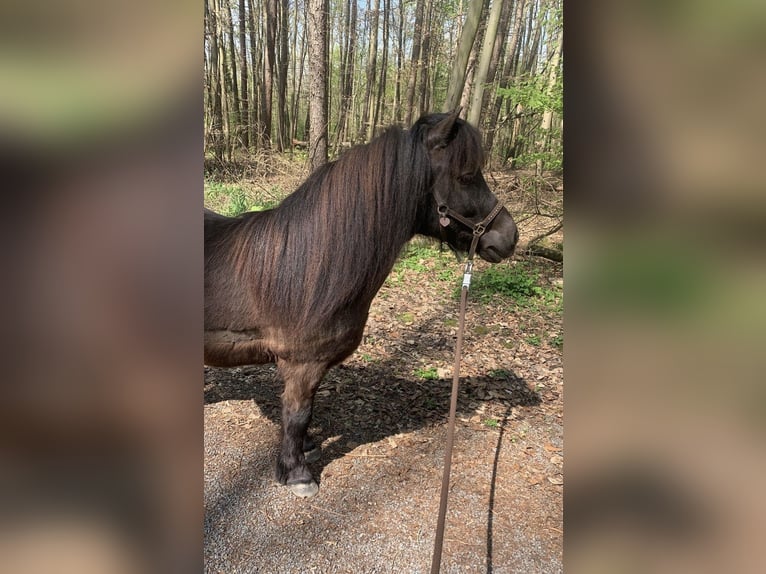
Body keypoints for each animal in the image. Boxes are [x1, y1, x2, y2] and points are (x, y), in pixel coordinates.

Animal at [204, 111, 520, 500]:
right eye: (465, 176)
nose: (510, 237)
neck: (310, 265)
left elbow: (306, 413)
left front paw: (307, 447)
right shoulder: (301, 363)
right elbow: (297, 414)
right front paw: (297, 473)